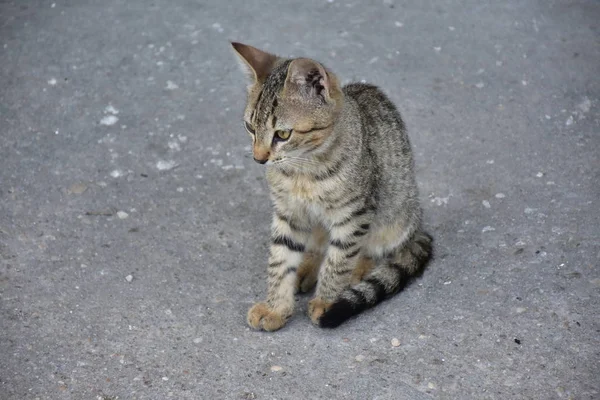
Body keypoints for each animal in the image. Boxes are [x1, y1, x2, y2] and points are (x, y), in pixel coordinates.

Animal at [232, 41, 434, 332]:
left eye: (282, 134)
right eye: (250, 127)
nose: (259, 158)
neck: (303, 171)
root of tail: (418, 225)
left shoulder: (354, 215)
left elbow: (339, 261)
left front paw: (326, 302)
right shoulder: (289, 213)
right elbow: (281, 259)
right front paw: (275, 307)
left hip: (395, 217)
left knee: (376, 250)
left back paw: (359, 270)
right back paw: (306, 267)